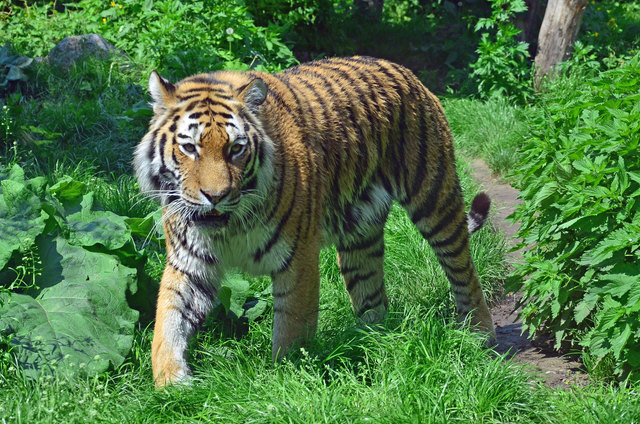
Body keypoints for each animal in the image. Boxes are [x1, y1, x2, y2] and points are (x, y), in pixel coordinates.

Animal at [134, 56, 496, 386]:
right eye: (189, 147)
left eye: (236, 149)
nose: (216, 196)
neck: (231, 225)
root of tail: (404, 70)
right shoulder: (189, 261)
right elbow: (168, 322)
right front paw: (171, 385)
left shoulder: (298, 257)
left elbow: (292, 327)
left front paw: (282, 380)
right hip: (358, 236)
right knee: (373, 296)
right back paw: (372, 343)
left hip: (434, 197)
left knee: (462, 267)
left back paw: (480, 334)